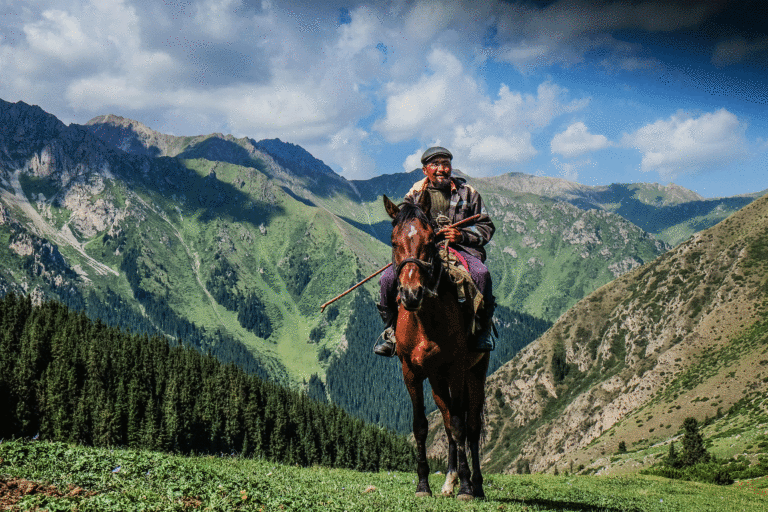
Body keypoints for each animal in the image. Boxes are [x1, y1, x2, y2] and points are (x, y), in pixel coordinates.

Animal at [380, 193, 488, 500]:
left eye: (430, 241)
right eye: (393, 241)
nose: (411, 294)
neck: (426, 320)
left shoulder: (457, 370)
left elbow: (462, 425)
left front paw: (466, 487)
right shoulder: (411, 372)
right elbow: (421, 427)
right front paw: (422, 485)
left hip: (475, 373)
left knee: (470, 426)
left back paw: (475, 485)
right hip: (438, 381)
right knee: (449, 421)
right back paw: (449, 481)